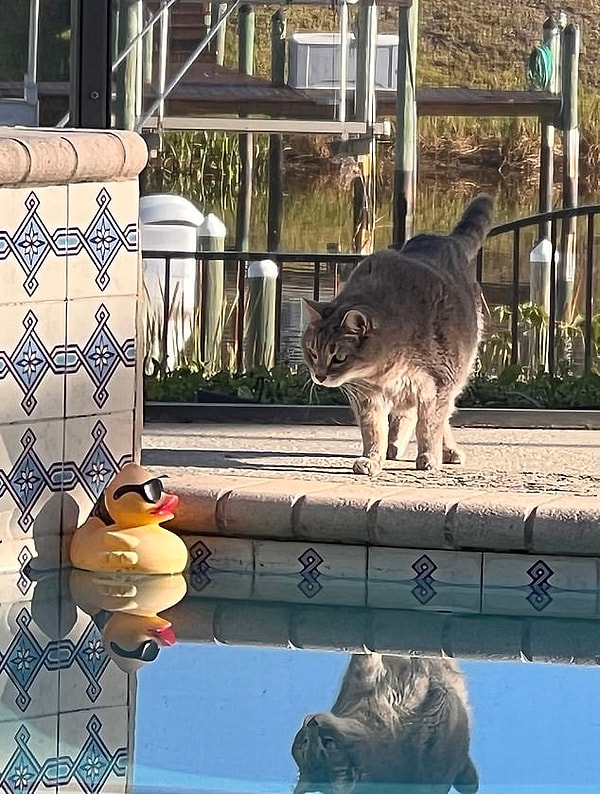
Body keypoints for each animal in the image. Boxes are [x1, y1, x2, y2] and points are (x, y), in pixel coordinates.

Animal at [302, 194, 494, 474]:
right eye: (313, 353)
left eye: (338, 357)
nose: (319, 376)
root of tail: (445, 239)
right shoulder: (367, 396)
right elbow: (374, 430)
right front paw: (373, 457)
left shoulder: (439, 383)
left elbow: (430, 425)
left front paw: (429, 456)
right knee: (409, 414)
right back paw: (395, 445)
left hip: (455, 374)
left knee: (439, 414)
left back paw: (444, 450)